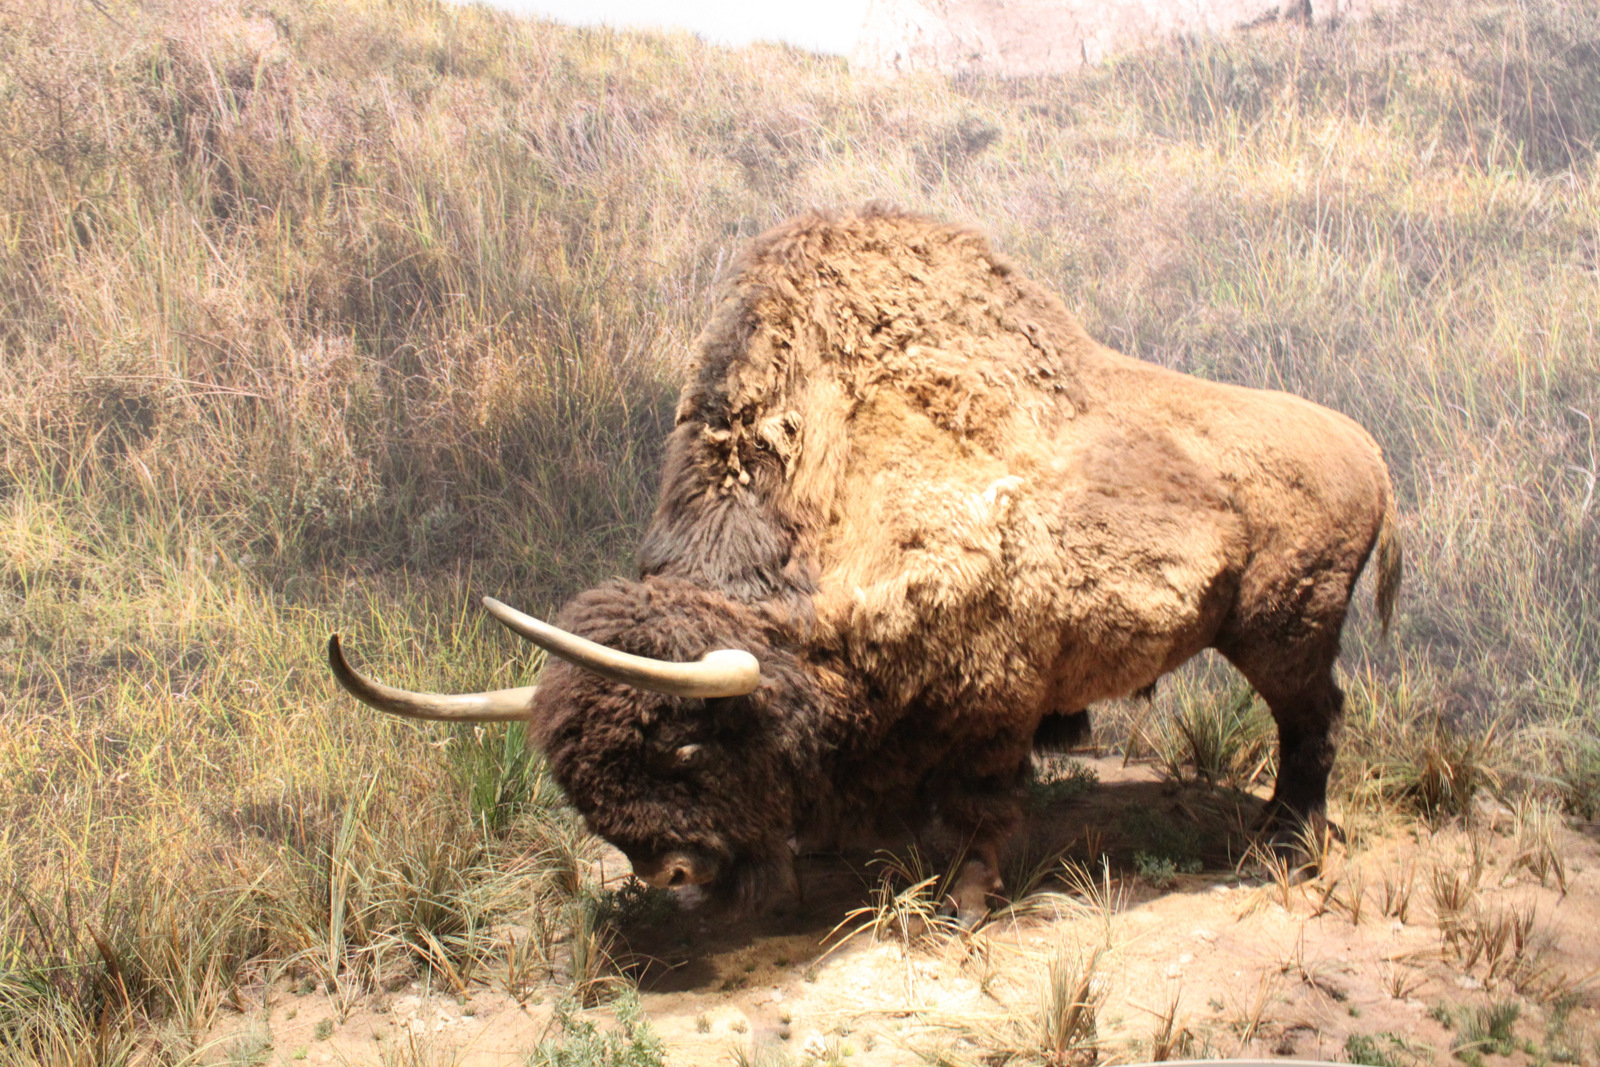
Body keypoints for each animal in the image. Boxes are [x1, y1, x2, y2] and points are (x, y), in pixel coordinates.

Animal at [328, 204, 1401, 921]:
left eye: (687, 747)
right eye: (572, 779)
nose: (669, 877)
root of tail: (1370, 451)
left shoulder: (992, 696)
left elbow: (980, 805)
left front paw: (962, 902)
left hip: (1286, 633)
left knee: (1312, 722)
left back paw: (1283, 839)